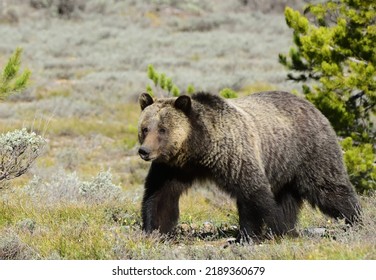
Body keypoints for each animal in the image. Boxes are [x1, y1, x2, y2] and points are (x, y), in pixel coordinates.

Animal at [137, 91, 362, 242]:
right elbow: (160, 196)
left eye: (163, 129)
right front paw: (154, 230)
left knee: (329, 188)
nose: (144, 151)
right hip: (284, 167)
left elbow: (251, 193)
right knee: (287, 198)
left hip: (309, 153)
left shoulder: (233, 155)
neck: (198, 150)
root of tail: (313, 106)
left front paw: (250, 235)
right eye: (145, 128)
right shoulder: (173, 168)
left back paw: (356, 220)